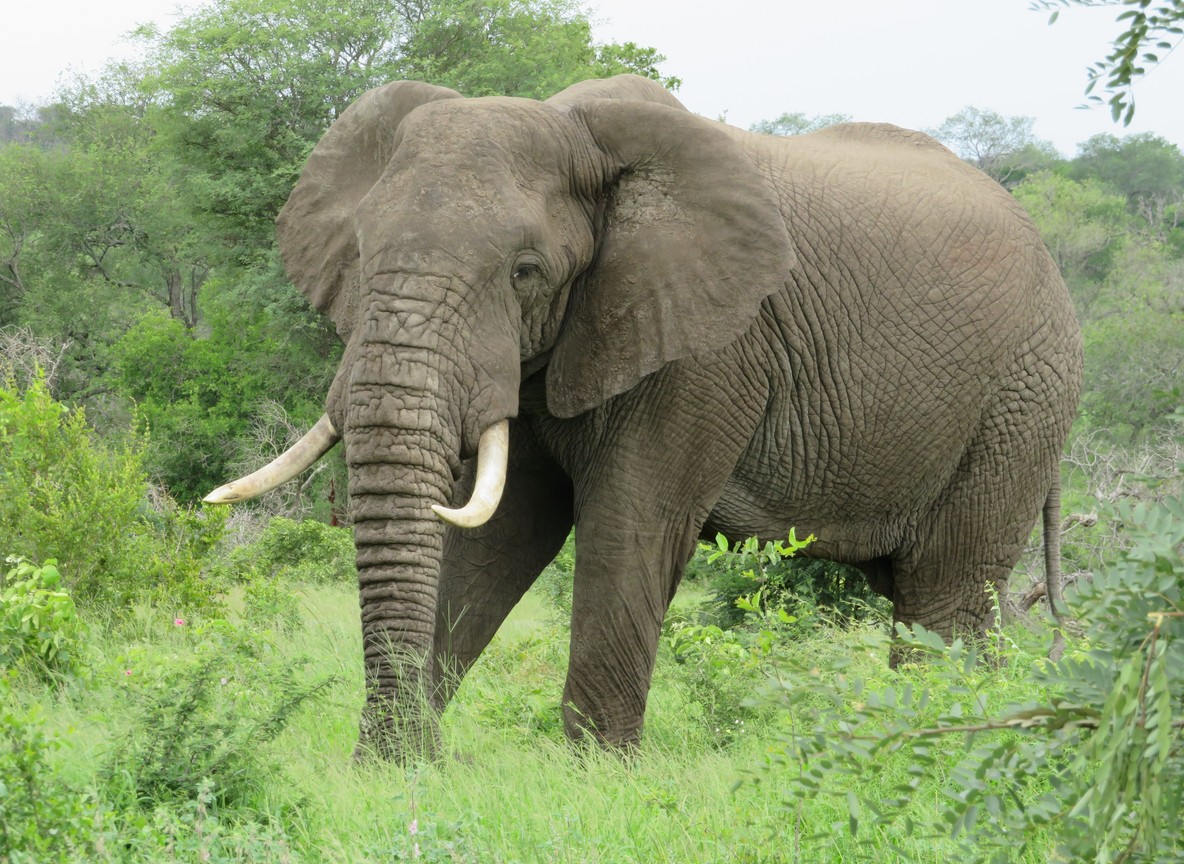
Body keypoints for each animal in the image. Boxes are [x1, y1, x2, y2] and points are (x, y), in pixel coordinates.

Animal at [205, 74, 1082, 758]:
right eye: (359, 253)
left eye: (525, 272)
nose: (403, 753)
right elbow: (496, 539)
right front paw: (396, 774)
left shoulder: (705, 351)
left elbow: (629, 527)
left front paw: (590, 781)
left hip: (1019, 402)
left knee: (944, 595)